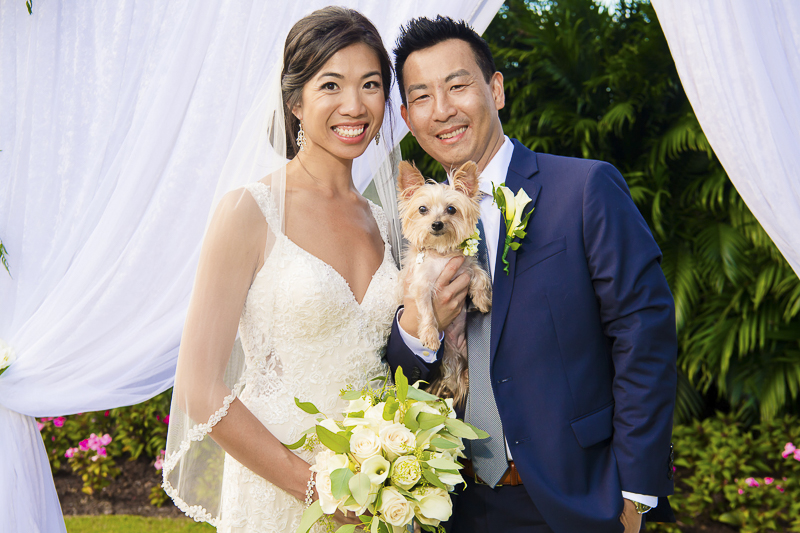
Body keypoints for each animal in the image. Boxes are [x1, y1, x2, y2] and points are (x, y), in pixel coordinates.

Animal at [396, 160, 490, 406]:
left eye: (451, 209)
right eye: (422, 209)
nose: (437, 224)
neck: (441, 254)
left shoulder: (466, 266)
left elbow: (480, 276)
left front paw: (482, 300)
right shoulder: (421, 285)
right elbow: (427, 311)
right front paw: (429, 335)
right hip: (447, 362)